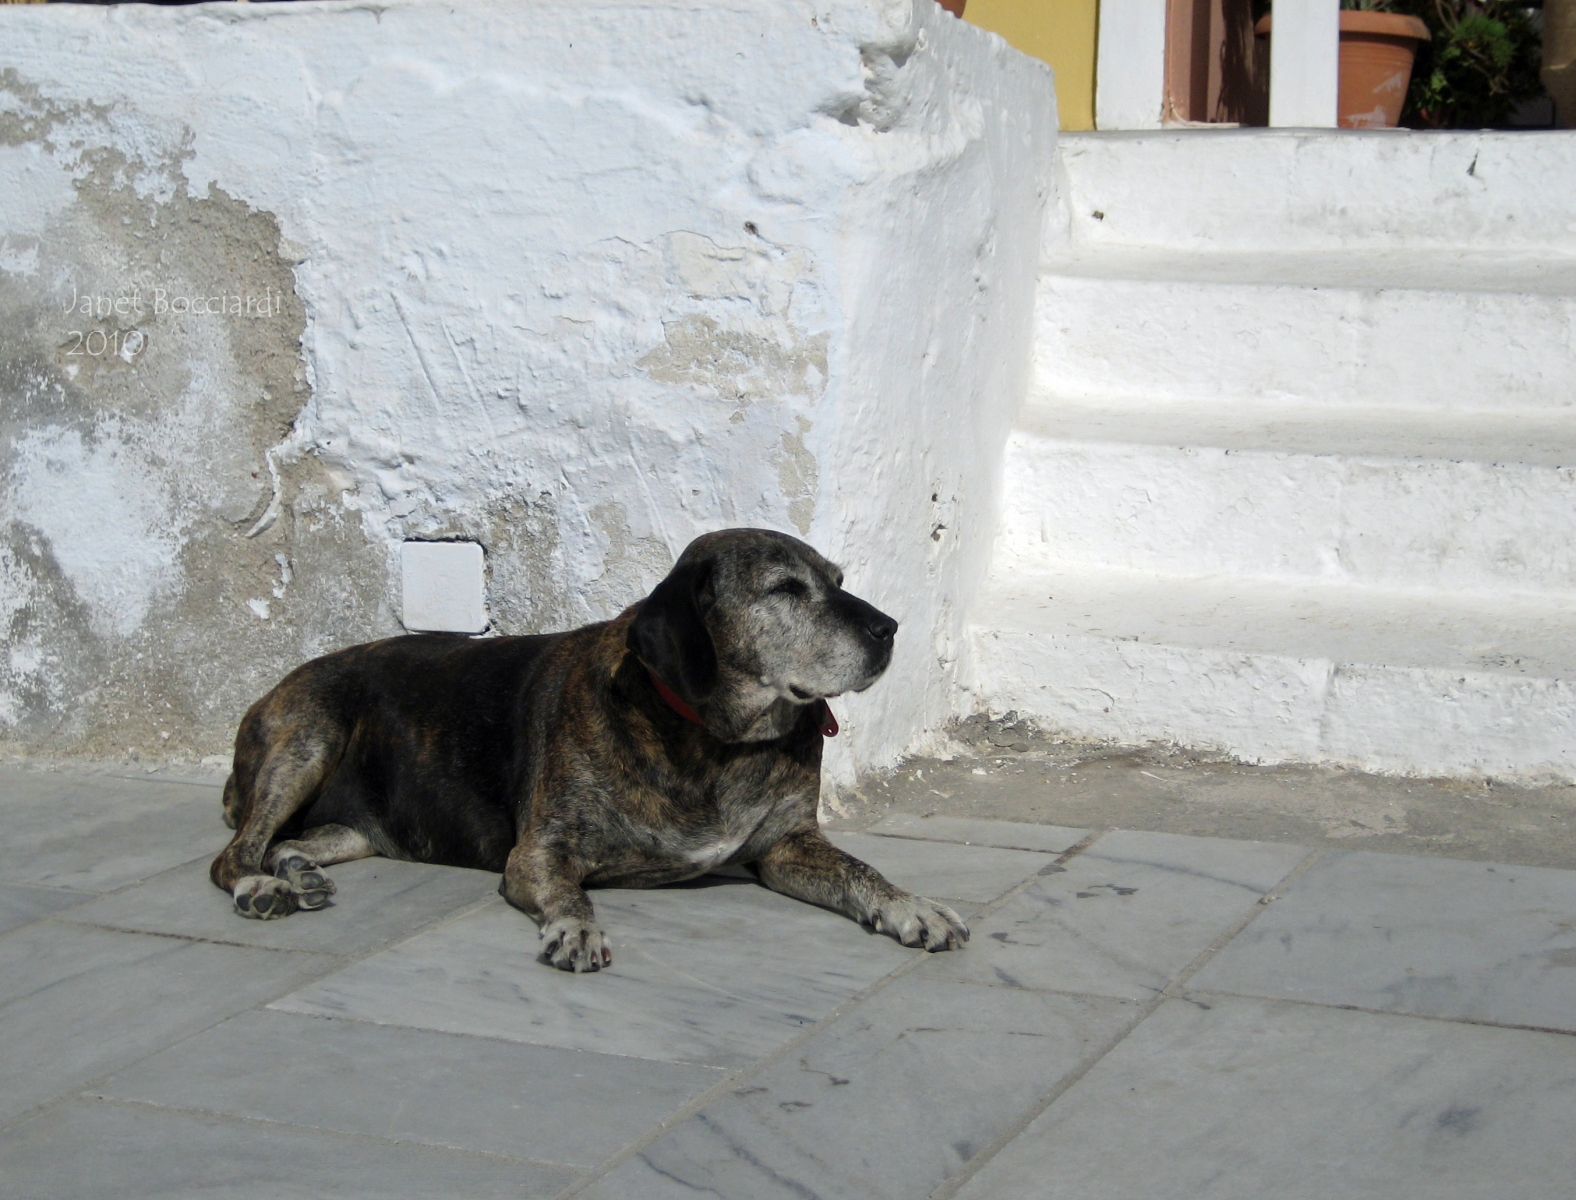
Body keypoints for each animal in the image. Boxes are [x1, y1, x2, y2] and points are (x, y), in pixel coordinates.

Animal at [206, 529, 970, 971]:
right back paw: (262, 887)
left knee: (292, 840)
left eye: (838, 581)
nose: (889, 627)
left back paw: (298, 871)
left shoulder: (786, 846)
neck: (713, 740)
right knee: (235, 854)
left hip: (357, 822)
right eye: (785, 587)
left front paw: (913, 905)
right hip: (308, 736)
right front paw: (573, 929)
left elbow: (861, 871)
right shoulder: (541, 854)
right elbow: (570, 893)